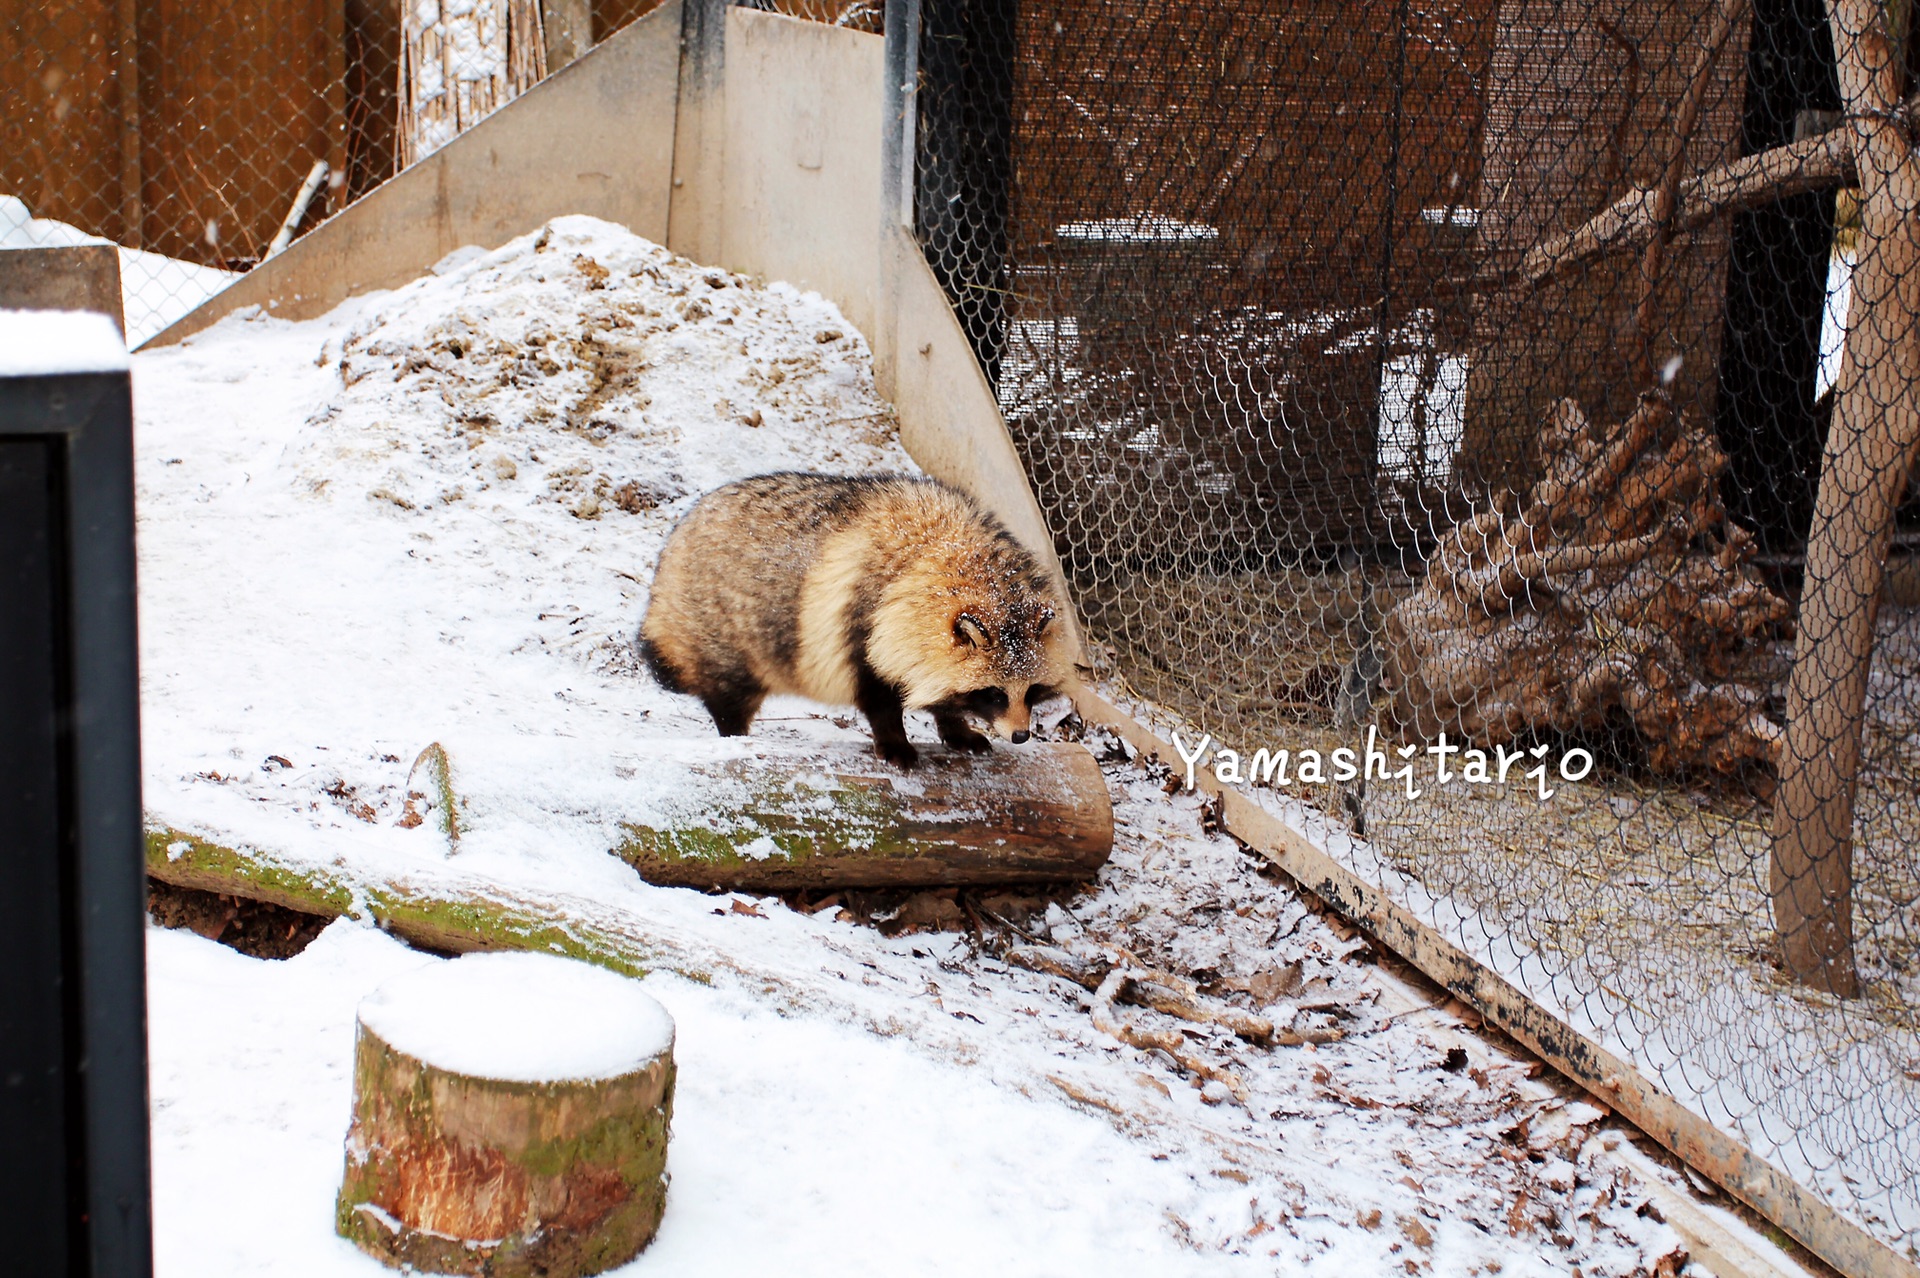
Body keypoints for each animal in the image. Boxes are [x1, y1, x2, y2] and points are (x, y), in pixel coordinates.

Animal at [641, 470, 1067, 759]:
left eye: (1031, 690)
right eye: (993, 694)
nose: (1021, 735)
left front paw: (953, 724)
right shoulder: (861, 622)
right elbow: (877, 693)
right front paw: (894, 739)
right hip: (718, 629)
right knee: (728, 692)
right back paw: (733, 731)